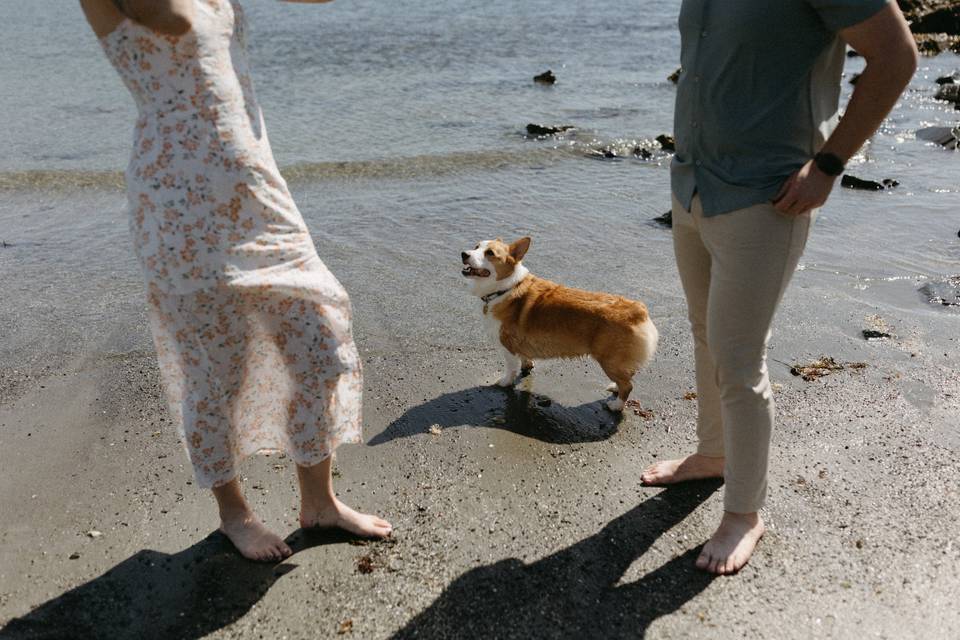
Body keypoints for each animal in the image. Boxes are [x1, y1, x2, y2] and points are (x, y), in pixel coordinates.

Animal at [460, 238, 656, 412]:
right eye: (476, 246)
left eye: (490, 253)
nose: (464, 253)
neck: (506, 287)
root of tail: (638, 311)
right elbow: (525, 359)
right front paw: (527, 366)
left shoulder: (508, 347)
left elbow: (510, 368)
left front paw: (505, 382)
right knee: (627, 377)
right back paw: (614, 387)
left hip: (609, 360)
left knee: (628, 386)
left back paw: (616, 406)